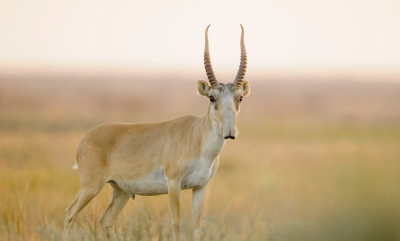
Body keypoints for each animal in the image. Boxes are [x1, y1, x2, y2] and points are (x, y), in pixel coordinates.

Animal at [62, 25, 250, 241]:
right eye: (211, 97)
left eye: (240, 98)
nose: (230, 132)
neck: (196, 135)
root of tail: (84, 139)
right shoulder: (174, 185)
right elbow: (176, 224)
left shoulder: (199, 187)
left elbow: (196, 227)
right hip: (91, 186)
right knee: (69, 214)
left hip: (120, 191)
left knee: (106, 220)